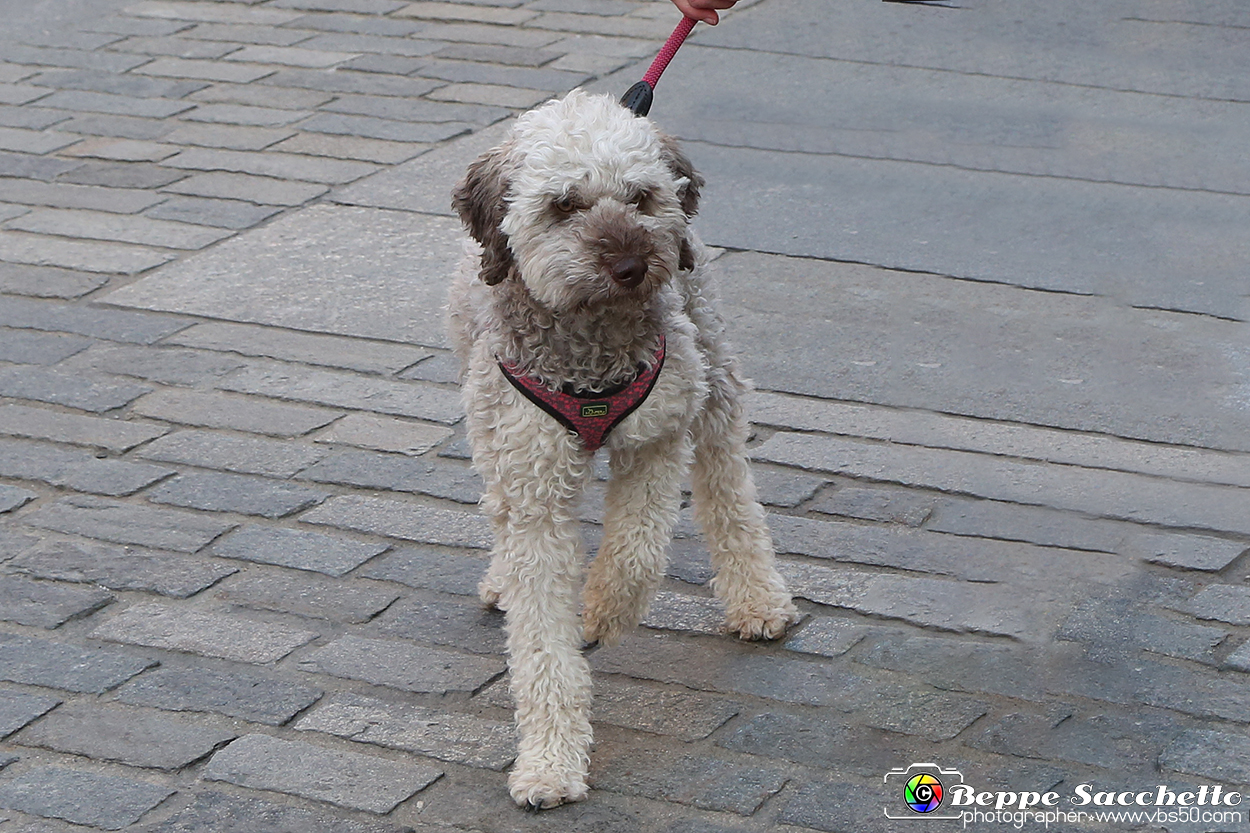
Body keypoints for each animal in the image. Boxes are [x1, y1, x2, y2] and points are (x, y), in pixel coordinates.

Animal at [450, 89, 800, 805]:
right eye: (563, 204)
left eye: (641, 196)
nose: (632, 266)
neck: (590, 350)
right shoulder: (530, 478)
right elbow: (540, 640)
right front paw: (550, 765)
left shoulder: (657, 438)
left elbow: (637, 552)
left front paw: (600, 610)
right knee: (496, 513)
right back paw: (499, 580)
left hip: (714, 373)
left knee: (729, 488)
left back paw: (758, 599)